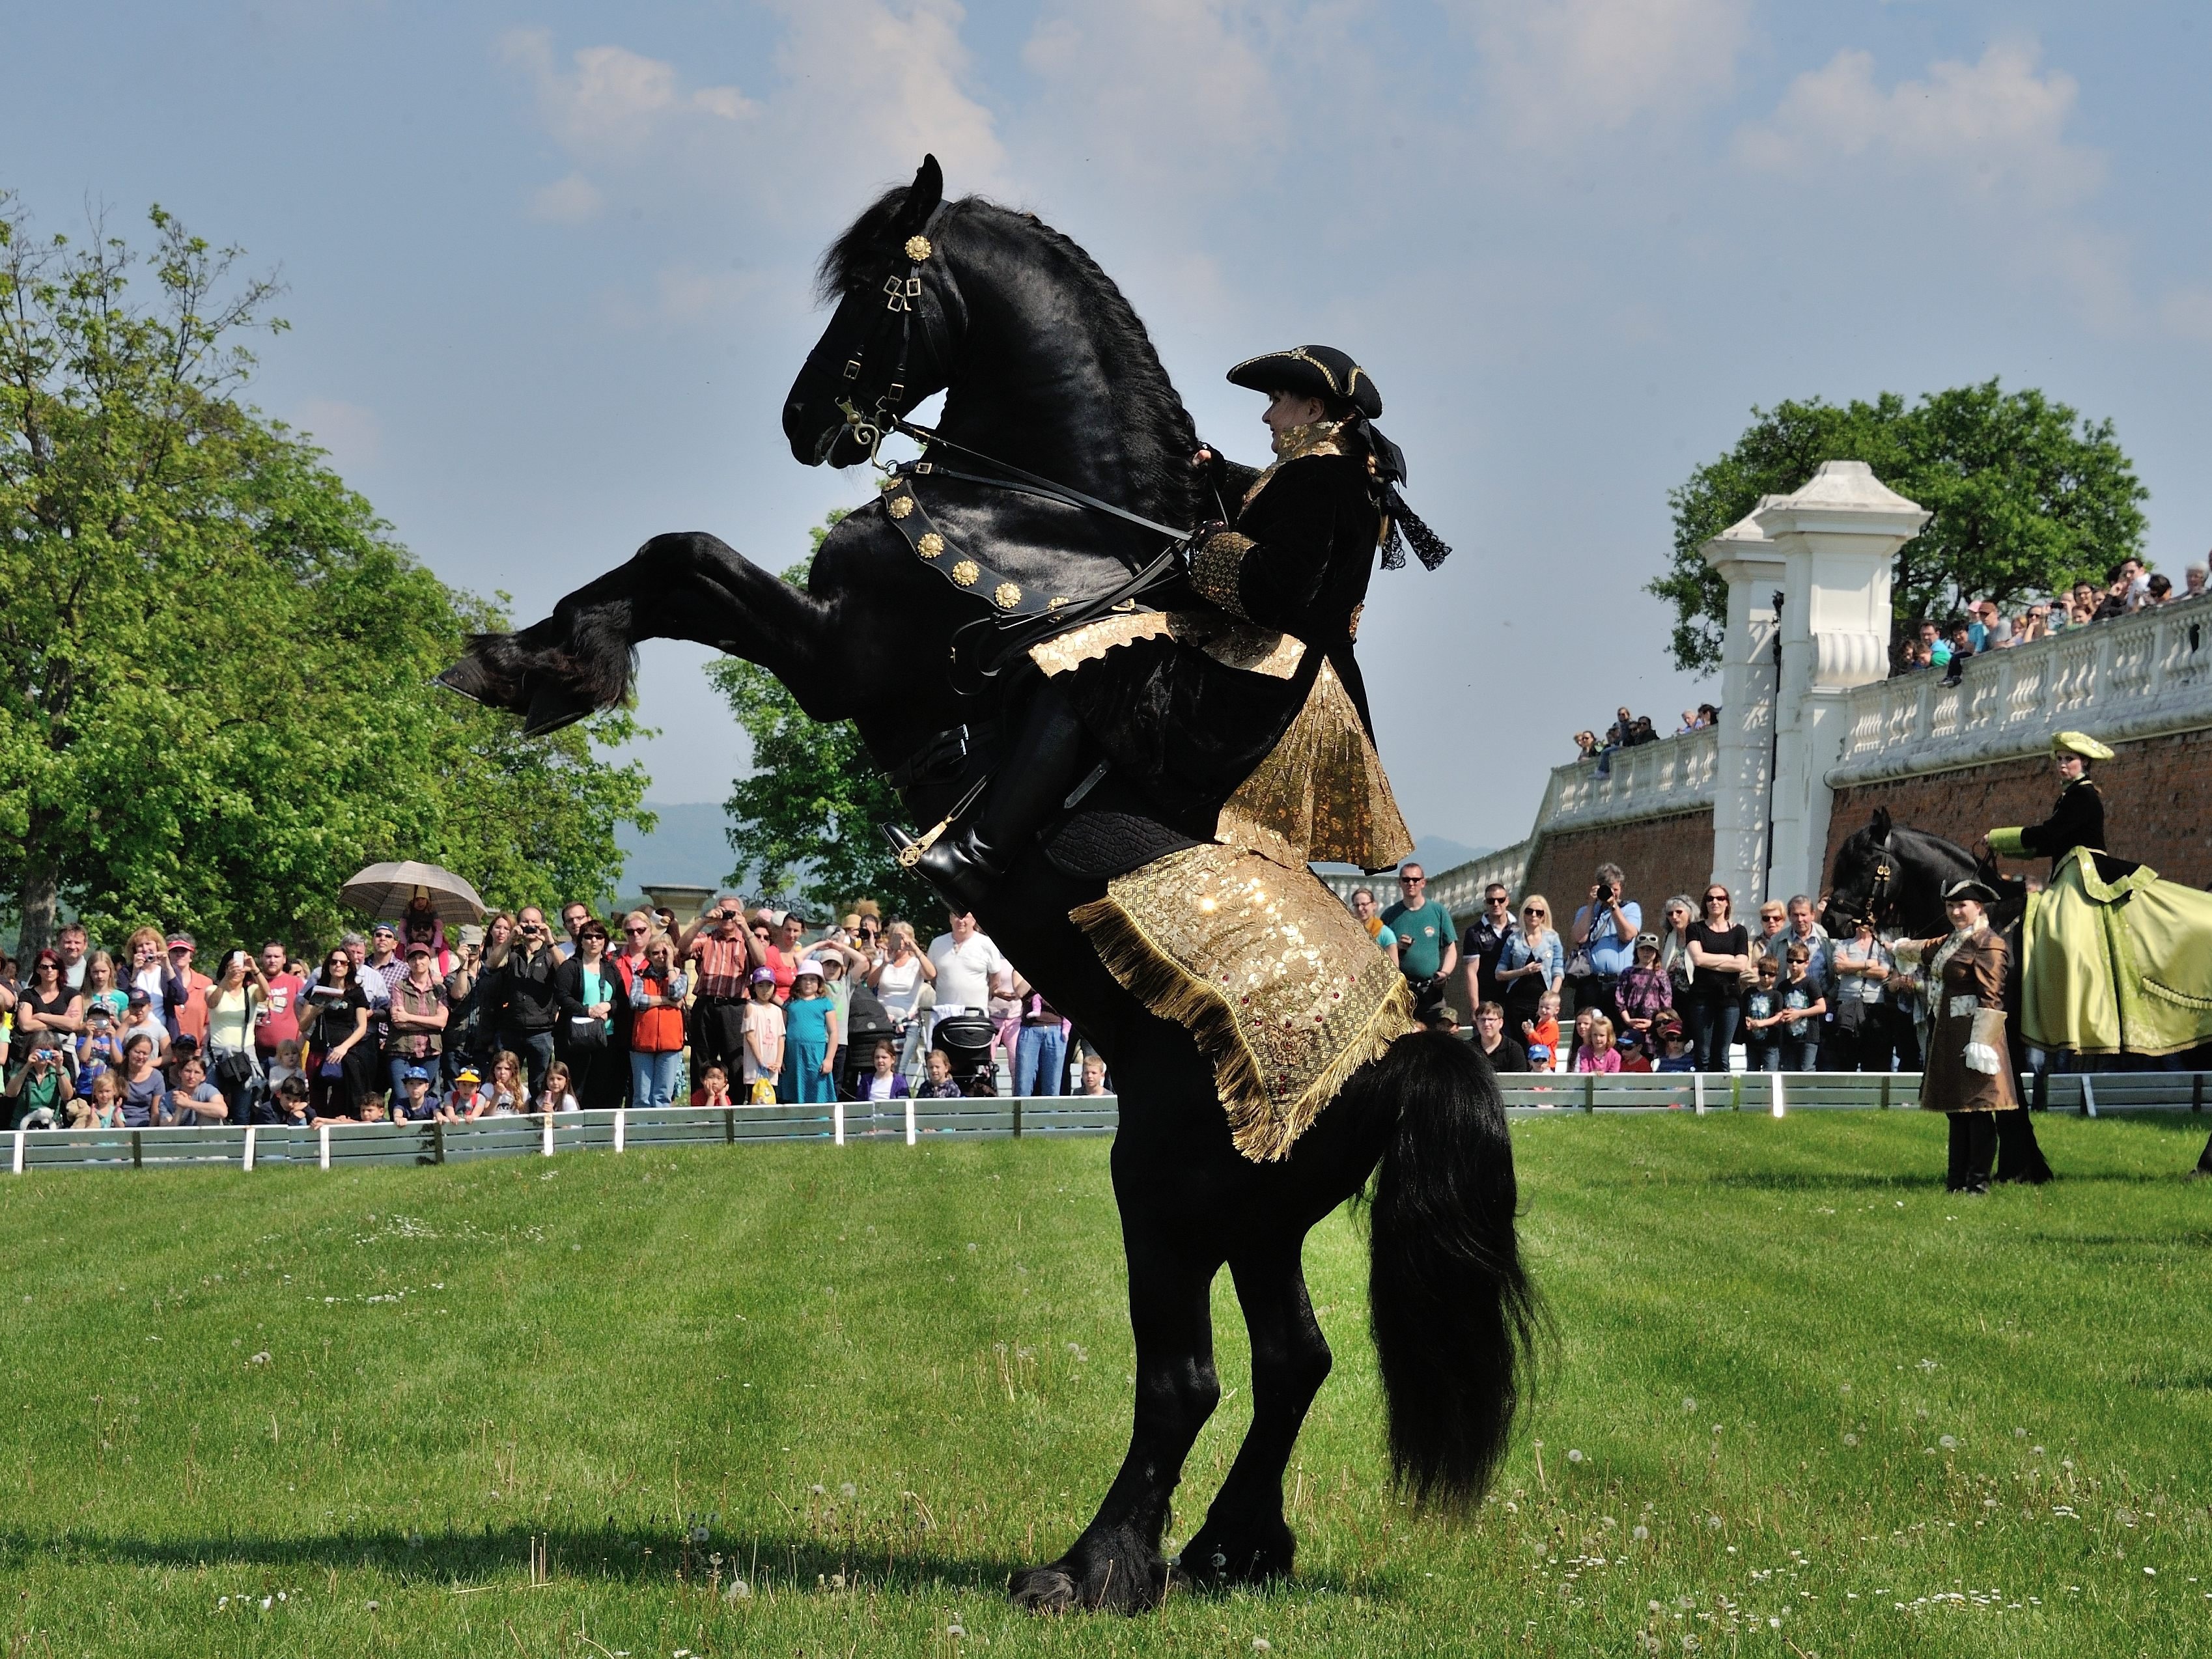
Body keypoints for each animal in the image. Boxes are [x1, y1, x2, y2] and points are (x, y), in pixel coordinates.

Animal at [438, 156, 1530, 1610]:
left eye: (876, 286)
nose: (808, 421)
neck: (1042, 513)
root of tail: (1411, 1044)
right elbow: (677, 558)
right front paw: (528, 656)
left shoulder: (842, 655)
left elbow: (686, 555)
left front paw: (543, 666)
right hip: (1259, 1212)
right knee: (1295, 1360)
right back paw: (1232, 1544)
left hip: (1163, 1183)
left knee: (1184, 1378)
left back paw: (1095, 1565)